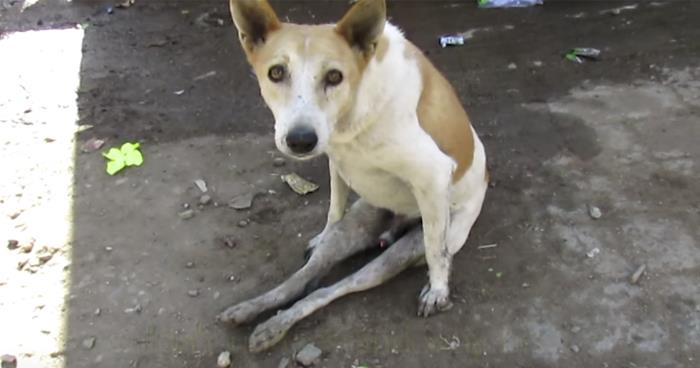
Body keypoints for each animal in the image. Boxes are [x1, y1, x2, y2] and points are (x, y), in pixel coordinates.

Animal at [220, 0, 486, 352]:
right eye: (276, 72)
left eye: (335, 76)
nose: (301, 140)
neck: (353, 109)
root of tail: (393, 228)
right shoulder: (336, 160)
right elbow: (333, 208)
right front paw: (322, 232)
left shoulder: (433, 173)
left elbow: (435, 252)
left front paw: (439, 290)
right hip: (354, 227)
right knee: (304, 278)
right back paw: (254, 310)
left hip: (397, 256)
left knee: (332, 288)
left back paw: (273, 326)